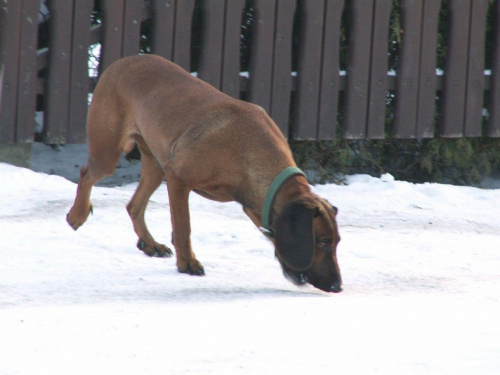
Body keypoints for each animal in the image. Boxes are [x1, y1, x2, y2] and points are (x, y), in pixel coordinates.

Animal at [66, 53, 342, 294]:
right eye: (322, 242)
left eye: (337, 241)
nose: (337, 286)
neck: (248, 150)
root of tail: (121, 61)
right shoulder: (178, 177)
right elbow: (183, 226)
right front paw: (187, 263)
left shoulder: (255, 204)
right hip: (111, 151)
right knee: (87, 174)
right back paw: (76, 215)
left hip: (156, 163)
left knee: (134, 205)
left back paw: (151, 244)